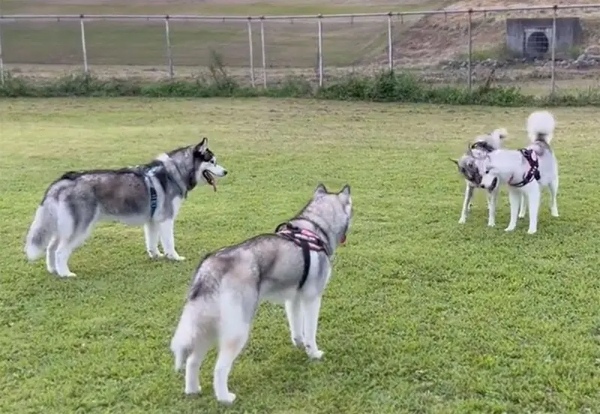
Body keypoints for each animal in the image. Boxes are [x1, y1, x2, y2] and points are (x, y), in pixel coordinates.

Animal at [24, 137, 229, 276]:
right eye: (212, 161)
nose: (226, 171)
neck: (174, 172)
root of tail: (65, 179)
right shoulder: (166, 219)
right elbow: (169, 242)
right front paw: (174, 257)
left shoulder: (152, 220)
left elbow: (152, 242)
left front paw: (156, 255)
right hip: (79, 228)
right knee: (59, 251)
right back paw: (65, 274)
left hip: (65, 225)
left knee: (51, 247)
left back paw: (53, 270)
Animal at [170, 184, 352, 404]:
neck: (315, 225)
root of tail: (210, 267)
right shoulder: (312, 299)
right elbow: (310, 332)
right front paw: (313, 353)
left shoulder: (293, 299)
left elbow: (296, 328)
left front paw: (299, 344)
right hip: (237, 329)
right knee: (219, 368)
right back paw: (225, 398)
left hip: (206, 327)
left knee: (192, 360)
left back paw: (192, 390)